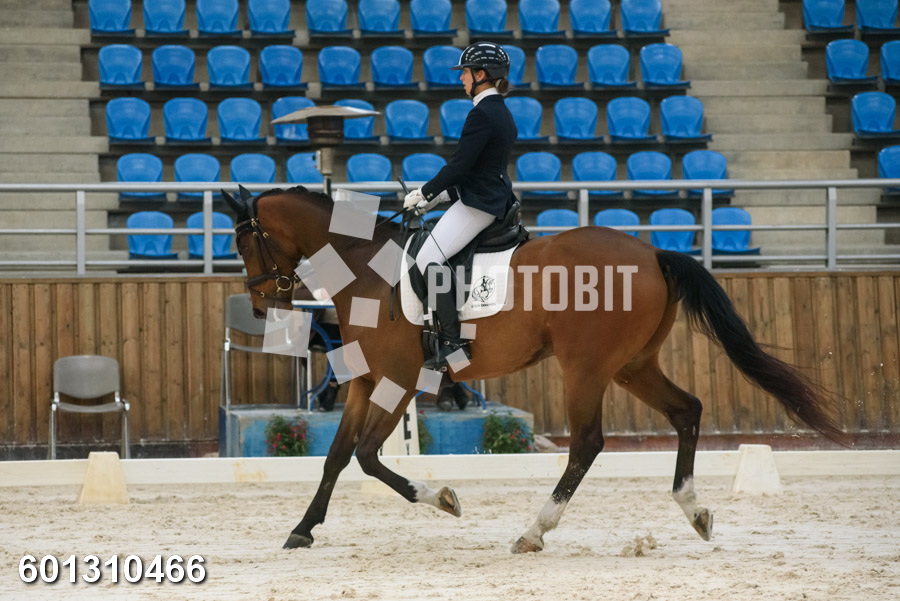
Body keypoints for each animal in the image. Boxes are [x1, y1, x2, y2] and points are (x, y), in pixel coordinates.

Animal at [223, 185, 844, 553]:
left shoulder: (398, 382)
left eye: (246, 243)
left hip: (586, 368)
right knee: (686, 411)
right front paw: (301, 530)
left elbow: (370, 458)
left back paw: (533, 531)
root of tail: (651, 253)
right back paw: (694, 511)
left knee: (587, 442)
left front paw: (443, 499)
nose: (260, 304)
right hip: (632, 365)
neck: (368, 270)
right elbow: (335, 458)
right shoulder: (364, 383)